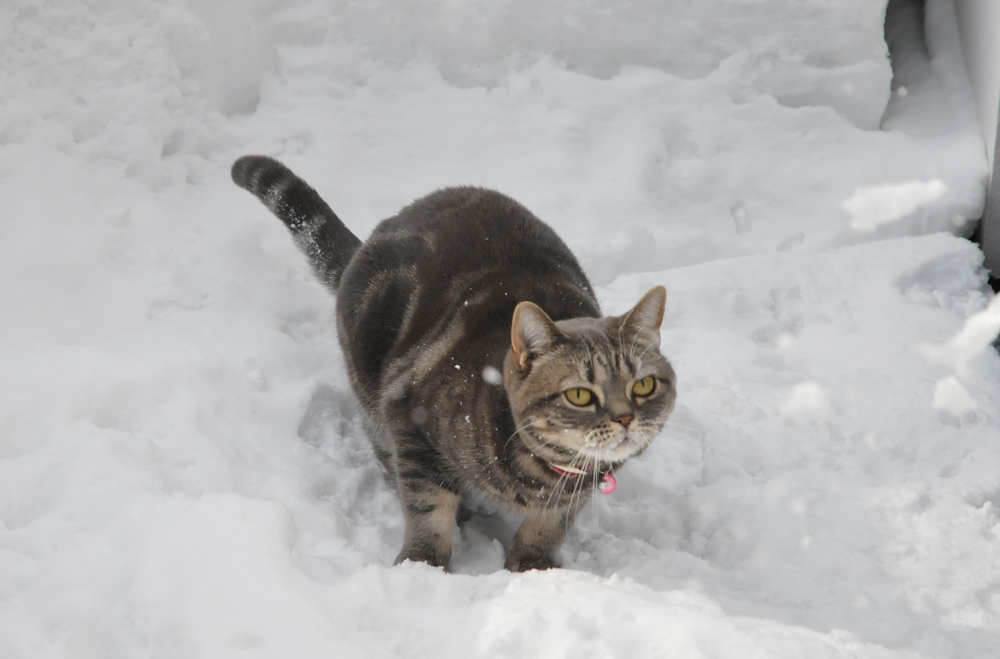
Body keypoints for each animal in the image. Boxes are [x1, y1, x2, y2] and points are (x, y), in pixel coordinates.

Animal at [230, 156, 676, 572]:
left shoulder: (582, 484)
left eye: (643, 386)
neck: (539, 472)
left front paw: (534, 564)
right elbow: (427, 506)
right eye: (580, 395)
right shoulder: (409, 417)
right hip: (371, 387)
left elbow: (554, 520)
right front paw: (422, 564)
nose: (625, 418)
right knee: (386, 453)